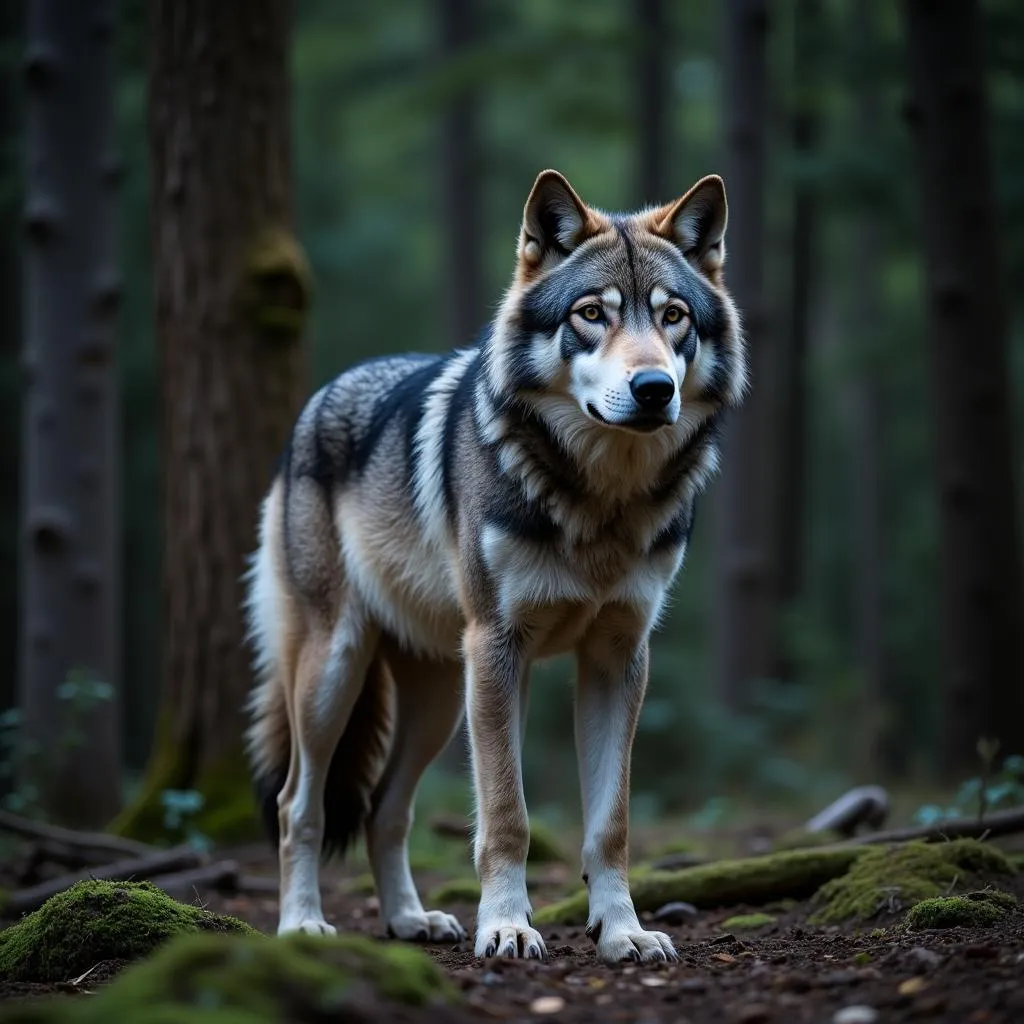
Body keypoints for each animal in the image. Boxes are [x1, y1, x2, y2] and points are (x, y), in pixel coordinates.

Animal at [244, 165, 749, 958]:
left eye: (673, 317)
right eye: (590, 314)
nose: (653, 389)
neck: (600, 502)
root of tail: (319, 397)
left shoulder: (618, 657)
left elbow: (611, 826)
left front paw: (624, 933)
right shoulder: (499, 648)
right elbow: (507, 816)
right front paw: (508, 927)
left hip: (440, 700)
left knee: (387, 808)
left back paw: (410, 919)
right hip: (340, 670)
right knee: (301, 803)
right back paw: (302, 925)